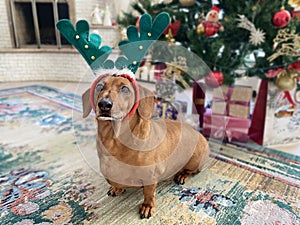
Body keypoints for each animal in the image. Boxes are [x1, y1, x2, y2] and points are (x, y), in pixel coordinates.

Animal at [81, 74, 210, 219]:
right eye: (99, 86)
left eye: (125, 89)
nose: (104, 104)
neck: (114, 140)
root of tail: (199, 133)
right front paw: (117, 188)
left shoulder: (150, 177)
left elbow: (148, 193)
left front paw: (147, 206)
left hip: (195, 160)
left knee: (190, 171)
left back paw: (182, 175)